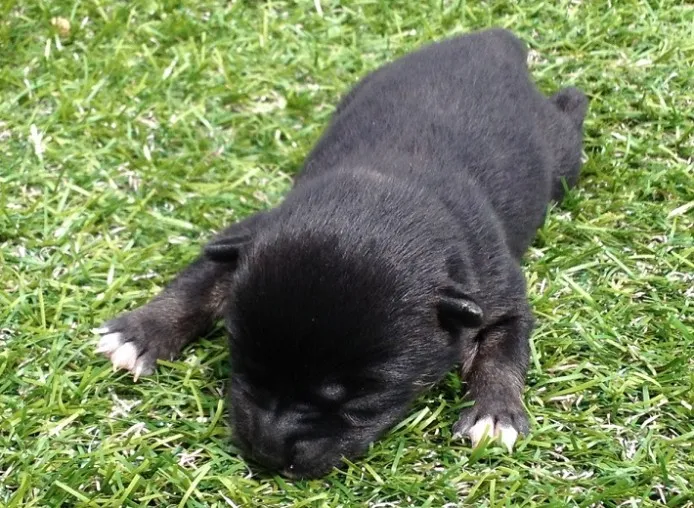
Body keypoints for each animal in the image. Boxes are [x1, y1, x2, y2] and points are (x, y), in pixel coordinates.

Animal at [95, 29, 588, 478]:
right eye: (243, 359)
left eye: (361, 396)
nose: (268, 454)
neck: (391, 184)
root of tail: (491, 41)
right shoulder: (247, 235)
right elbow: (199, 280)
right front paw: (138, 333)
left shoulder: (499, 293)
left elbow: (503, 352)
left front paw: (495, 413)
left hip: (562, 159)